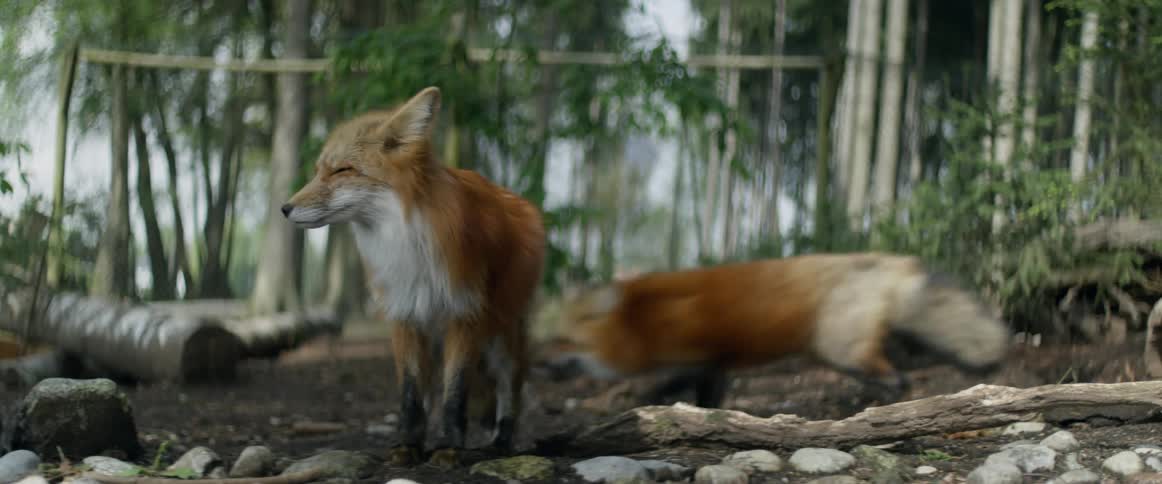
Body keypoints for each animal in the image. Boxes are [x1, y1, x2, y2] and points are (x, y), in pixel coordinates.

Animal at [281, 86, 546, 468]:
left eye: (342, 170)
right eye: (319, 172)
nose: (284, 208)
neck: (407, 241)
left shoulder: (464, 316)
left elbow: (455, 396)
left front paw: (449, 448)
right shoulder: (405, 314)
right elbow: (410, 396)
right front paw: (407, 446)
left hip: (502, 335)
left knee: (511, 389)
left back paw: (500, 443)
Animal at [540, 252, 1010, 409]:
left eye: (564, 342)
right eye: (549, 341)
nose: (539, 364)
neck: (639, 322)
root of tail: (894, 261)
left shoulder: (689, 358)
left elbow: (657, 388)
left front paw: (633, 404)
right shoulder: (714, 364)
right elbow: (709, 399)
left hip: (840, 349)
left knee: (898, 377)